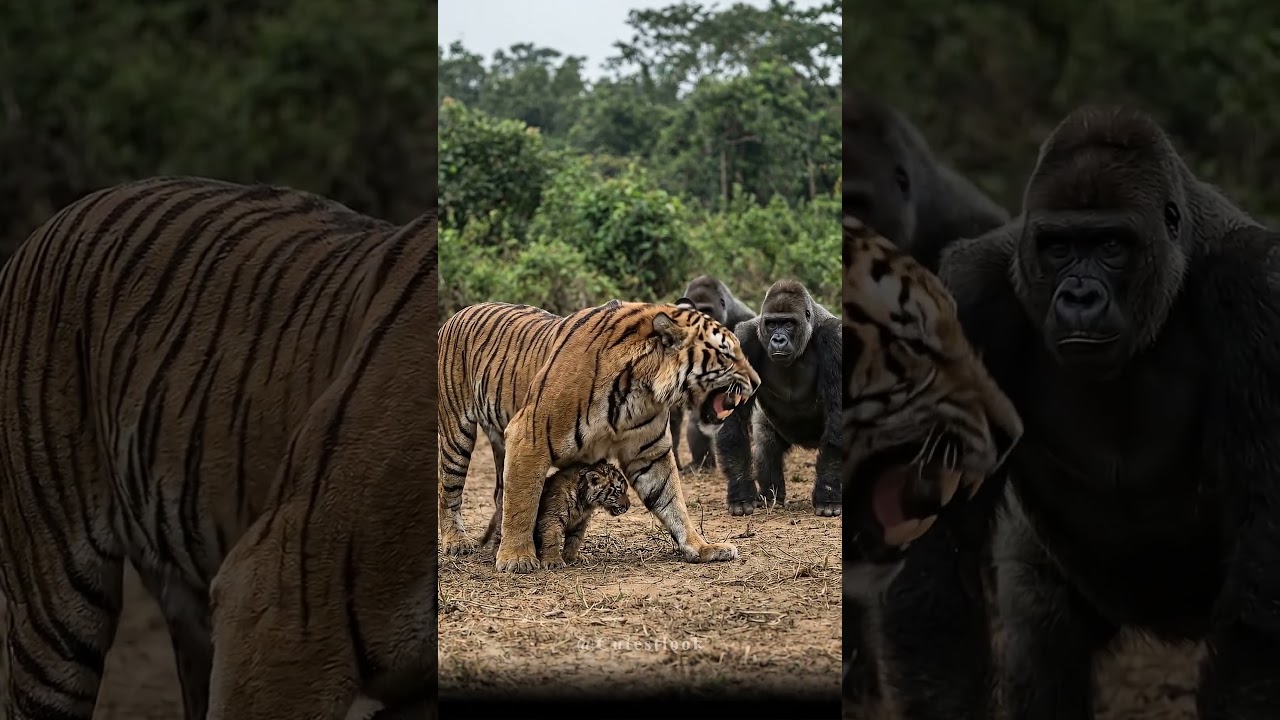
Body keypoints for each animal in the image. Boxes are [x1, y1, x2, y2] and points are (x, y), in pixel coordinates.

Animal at [438, 298, 761, 573]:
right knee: (450, 492)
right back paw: (458, 543)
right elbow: (523, 503)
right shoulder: (528, 436)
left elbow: (672, 501)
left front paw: (702, 547)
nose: (757, 382)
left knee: (499, 492)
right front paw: (517, 558)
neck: (641, 390)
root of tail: (456, 314)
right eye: (726, 354)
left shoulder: (650, 453)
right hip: (456, 435)